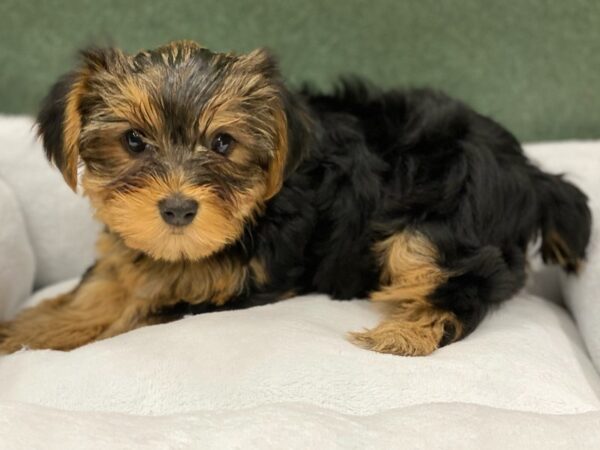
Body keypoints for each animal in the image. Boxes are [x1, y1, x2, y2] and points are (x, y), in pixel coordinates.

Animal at [0, 40, 592, 356]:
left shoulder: (237, 285)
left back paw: (402, 333)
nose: (177, 209)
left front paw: (50, 337)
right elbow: (98, 292)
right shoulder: (129, 258)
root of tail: (529, 172)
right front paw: (31, 326)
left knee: (468, 284)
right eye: (132, 142)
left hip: (440, 222)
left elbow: (132, 314)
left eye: (223, 143)